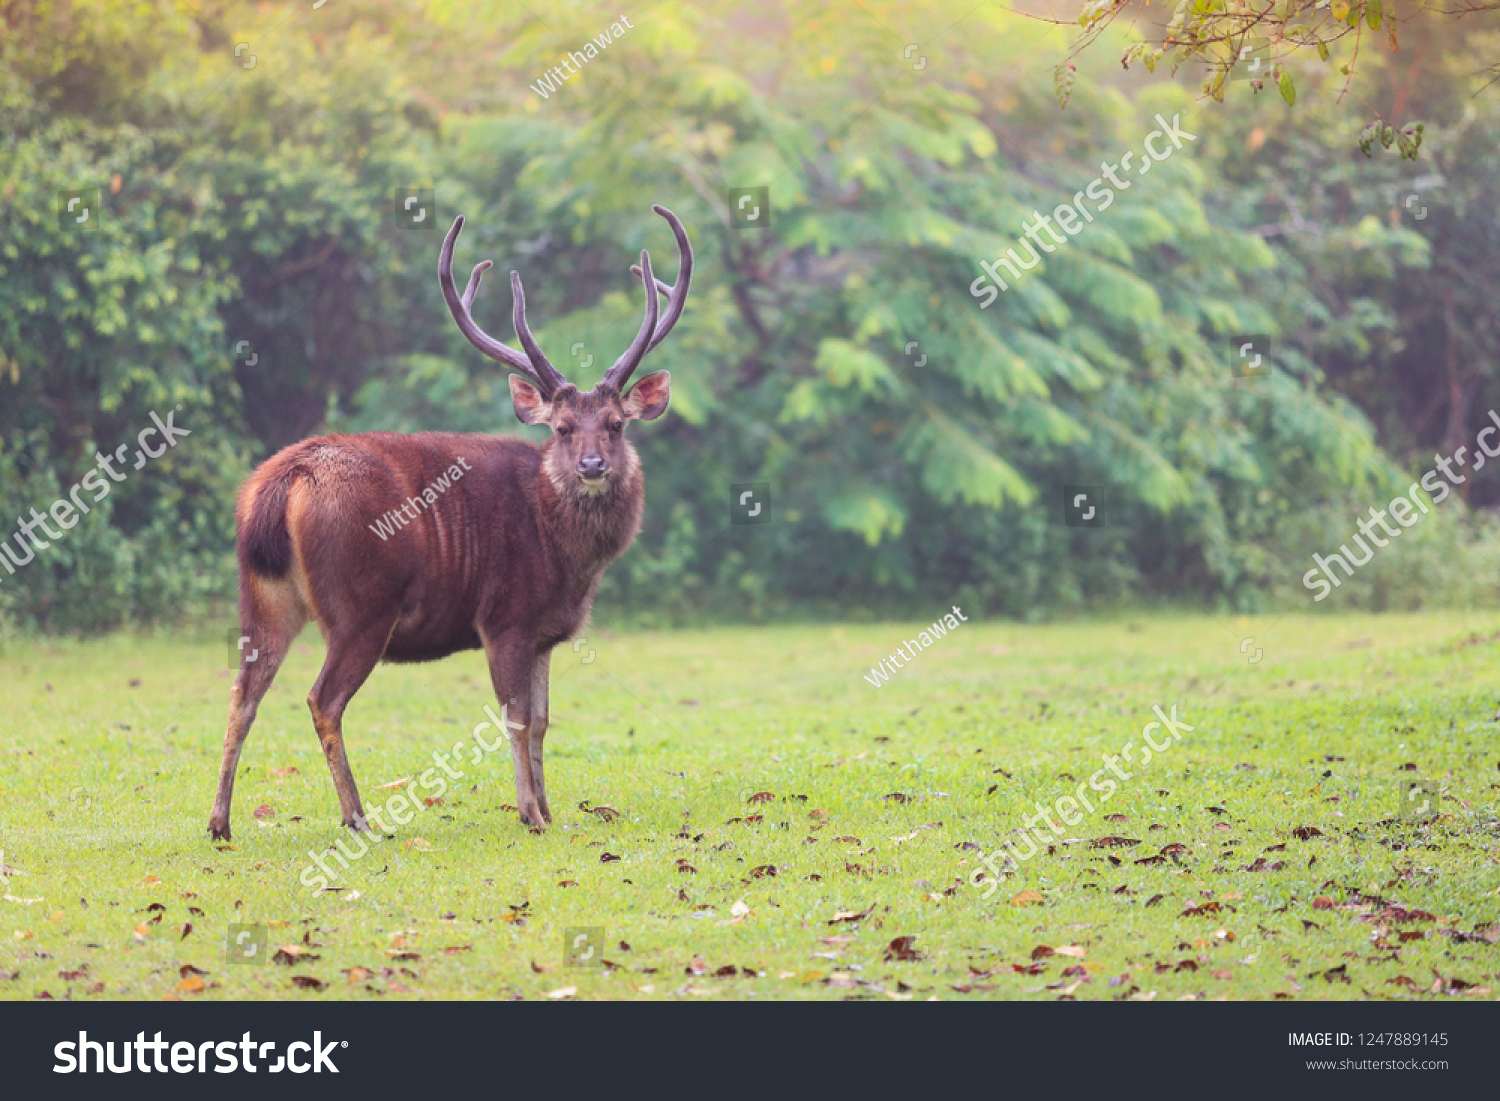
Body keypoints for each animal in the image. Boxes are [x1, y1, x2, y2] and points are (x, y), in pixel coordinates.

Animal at [207, 207, 690, 840]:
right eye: (562, 428)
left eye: (616, 424)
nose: (592, 466)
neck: (565, 558)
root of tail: (287, 478)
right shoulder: (505, 615)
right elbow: (515, 718)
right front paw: (530, 814)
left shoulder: (545, 633)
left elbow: (543, 720)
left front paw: (550, 809)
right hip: (361, 605)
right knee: (322, 699)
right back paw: (358, 817)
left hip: (262, 594)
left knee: (243, 692)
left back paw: (220, 822)